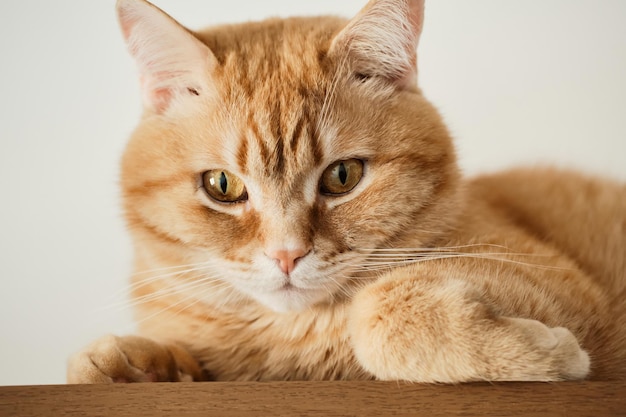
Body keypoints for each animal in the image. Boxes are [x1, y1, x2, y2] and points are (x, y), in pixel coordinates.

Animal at [66, 0, 620, 384]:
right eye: (223, 185)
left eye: (342, 177)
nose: (287, 255)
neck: (290, 347)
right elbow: (102, 365)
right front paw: (130, 363)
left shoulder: (564, 288)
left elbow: (376, 310)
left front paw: (544, 355)